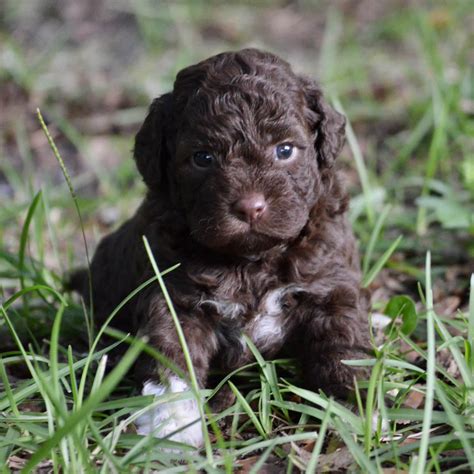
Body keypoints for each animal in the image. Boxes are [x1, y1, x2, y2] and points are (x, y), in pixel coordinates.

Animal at [72, 49, 372, 448]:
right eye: (203, 158)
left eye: (285, 150)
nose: (250, 207)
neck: (252, 261)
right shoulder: (173, 296)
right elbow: (172, 356)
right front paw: (173, 425)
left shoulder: (329, 286)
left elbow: (343, 347)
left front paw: (354, 410)